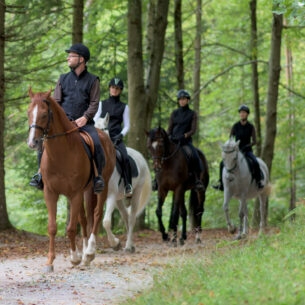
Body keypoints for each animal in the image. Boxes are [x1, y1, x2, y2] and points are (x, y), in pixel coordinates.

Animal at [26, 88, 115, 270]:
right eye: (28, 112)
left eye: (44, 114)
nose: (33, 143)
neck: (61, 154)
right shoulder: (51, 193)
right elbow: (53, 227)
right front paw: (50, 261)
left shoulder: (75, 194)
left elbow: (71, 228)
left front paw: (74, 258)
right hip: (86, 191)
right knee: (85, 218)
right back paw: (85, 252)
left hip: (101, 187)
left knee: (96, 214)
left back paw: (89, 253)